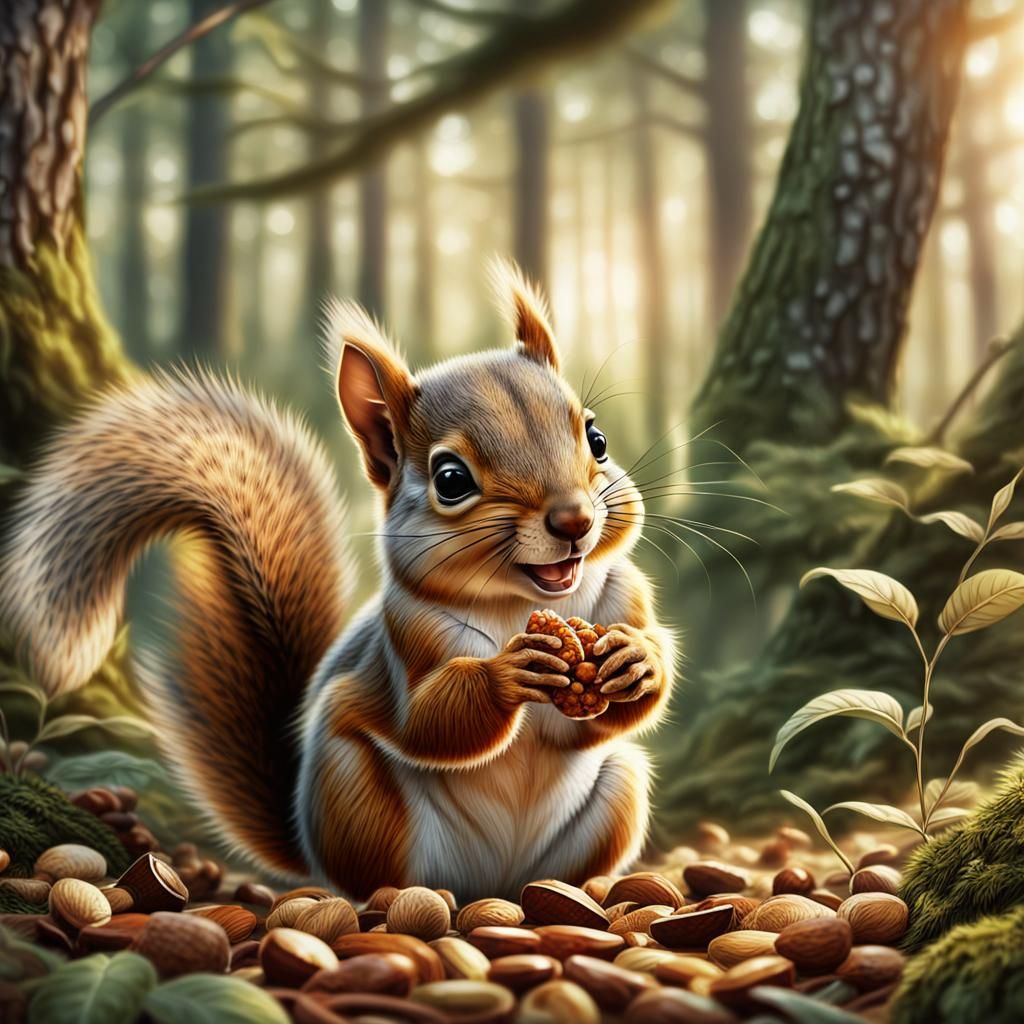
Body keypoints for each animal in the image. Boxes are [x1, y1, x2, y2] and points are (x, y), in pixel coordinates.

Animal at [0, 261, 675, 902]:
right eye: (451, 479)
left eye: (597, 437)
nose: (574, 520)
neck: (519, 602)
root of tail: (488, 882)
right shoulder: (406, 637)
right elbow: (428, 721)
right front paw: (510, 671)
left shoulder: (627, 596)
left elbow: (619, 702)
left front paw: (635, 659)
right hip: (355, 795)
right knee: (378, 875)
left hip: (621, 786)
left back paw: (583, 892)